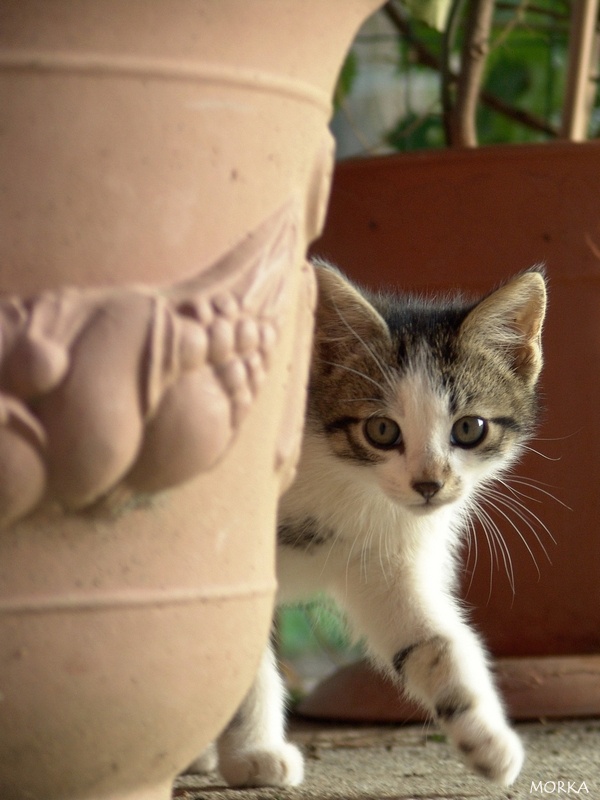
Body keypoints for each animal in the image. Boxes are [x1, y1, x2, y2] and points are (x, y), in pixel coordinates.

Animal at [191, 262, 544, 788]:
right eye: (381, 430)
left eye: (469, 428)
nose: (428, 484)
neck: (348, 484)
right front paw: (253, 755)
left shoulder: (384, 562)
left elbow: (433, 642)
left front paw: (489, 742)